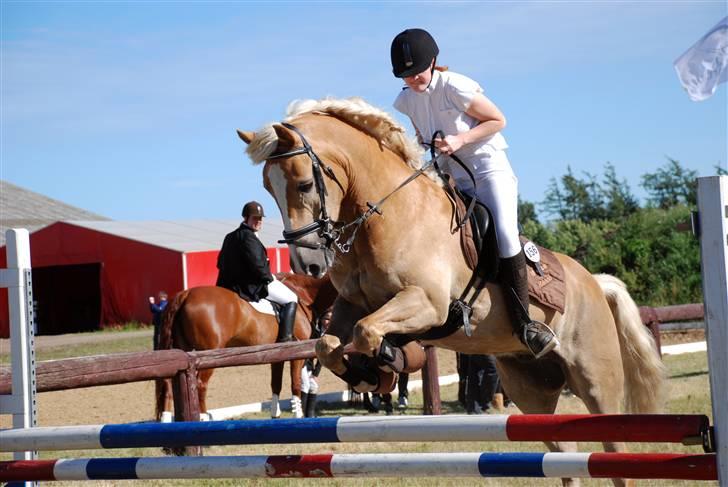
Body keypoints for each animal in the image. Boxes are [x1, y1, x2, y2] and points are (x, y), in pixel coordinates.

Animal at [155, 274, 336, 424]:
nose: (327, 325)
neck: (307, 295)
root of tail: (185, 294)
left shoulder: (277, 355)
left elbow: (275, 384)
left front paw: (275, 415)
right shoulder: (295, 354)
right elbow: (295, 384)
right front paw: (298, 415)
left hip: (178, 353)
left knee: (168, 385)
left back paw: (166, 421)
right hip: (206, 355)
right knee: (200, 385)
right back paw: (203, 418)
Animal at [239, 98, 664, 487]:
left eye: (304, 184)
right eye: (268, 188)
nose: (308, 265)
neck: (388, 214)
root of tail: (594, 282)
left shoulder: (428, 304)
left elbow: (368, 331)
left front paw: (387, 360)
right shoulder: (352, 305)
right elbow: (328, 344)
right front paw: (368, 375)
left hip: (595, 381)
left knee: (613, 453)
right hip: (531, 389)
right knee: (566, 456)